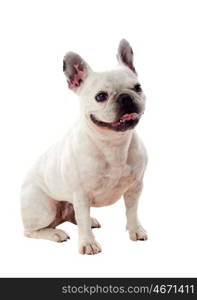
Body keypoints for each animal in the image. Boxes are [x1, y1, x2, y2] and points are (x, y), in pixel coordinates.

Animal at [21, 38, 148, 254]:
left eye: (138, 87)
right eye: (101, 96)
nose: (125, 97)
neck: (113, 143)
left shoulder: (135, 186)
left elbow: (132, 211)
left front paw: (135, 230)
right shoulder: (81, 194)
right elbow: (83, 219)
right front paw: (88, 243)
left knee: (76, 217)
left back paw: (90, 220)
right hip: (44, 207)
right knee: (32, 231)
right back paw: (55, 233)